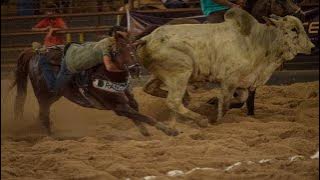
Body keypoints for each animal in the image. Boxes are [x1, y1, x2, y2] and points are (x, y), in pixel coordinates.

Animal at [10, 31, 179, 137]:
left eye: (133, 48)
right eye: (118, 51)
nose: (134, 68)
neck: (107, 74)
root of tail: (35, 53)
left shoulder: (129, 100)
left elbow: (138, 114)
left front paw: (145, 132)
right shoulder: (118, 106)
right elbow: (145, 117)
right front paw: (170, 131)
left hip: (53, 96)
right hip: (44, 95)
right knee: (43, 116)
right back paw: (52, 138)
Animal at [136, 7, 314, 127]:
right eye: (293, 29)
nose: (312, 47)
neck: (256, 41)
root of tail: (148, 38)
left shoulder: (243, 82)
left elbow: (241, 99)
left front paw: (213, 103)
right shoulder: (230, 80)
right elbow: (227, 102)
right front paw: (216, 118)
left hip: (161, 75)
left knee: (149, 88)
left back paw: (187, 100)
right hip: (180, 72)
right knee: (173, 101)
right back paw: (200, 119)